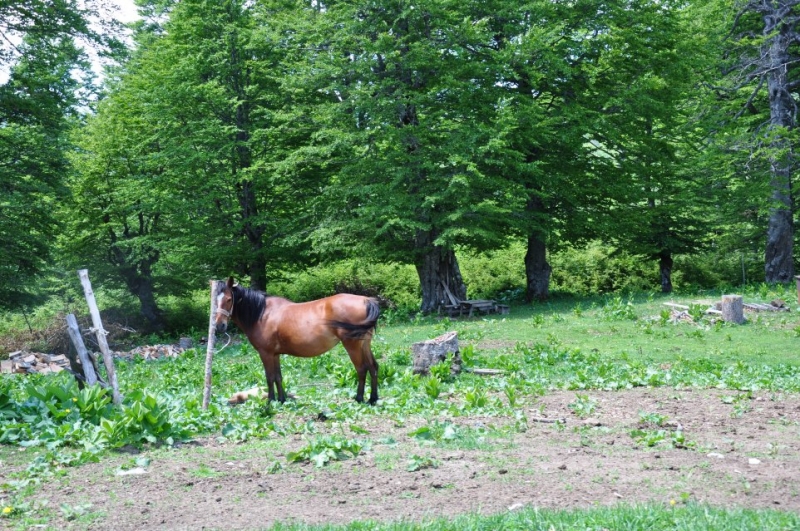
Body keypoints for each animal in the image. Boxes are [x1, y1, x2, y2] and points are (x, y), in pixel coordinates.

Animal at [214, 278, 380, 404]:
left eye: (229, 299)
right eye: (215, 301)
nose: (219, 326)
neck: (262, 314)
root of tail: (366, 300)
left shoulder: (265, 353)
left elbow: (269, 377)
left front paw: (271, 401)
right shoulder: (275, 354)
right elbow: (278, 377)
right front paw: (281, 400)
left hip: (352, 346)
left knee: (361, 369)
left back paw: (359, 398)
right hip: (365, 344)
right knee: (373, 367)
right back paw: (373, 399)